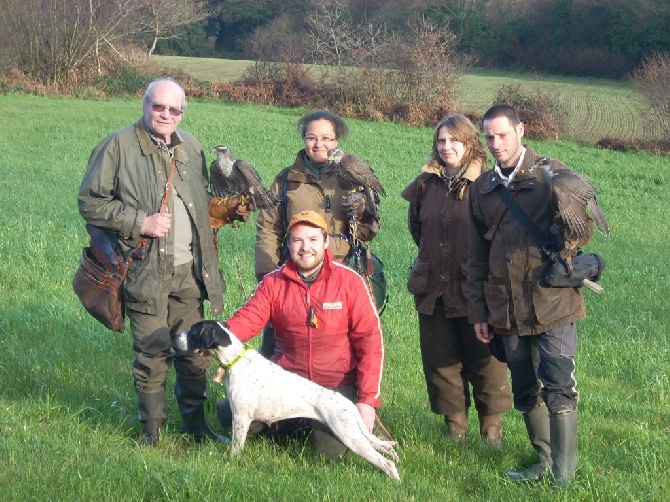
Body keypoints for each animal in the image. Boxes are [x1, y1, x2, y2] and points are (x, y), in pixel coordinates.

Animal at [176, 320, 402, 480]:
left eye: (193, 330)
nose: (175, 335)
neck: (236, 360)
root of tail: (349, 404)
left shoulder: (240, 417)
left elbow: (236, 447)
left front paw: (232, 462)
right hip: (357, 434)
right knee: (387, 449)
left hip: (350, 435)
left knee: (386, 462)